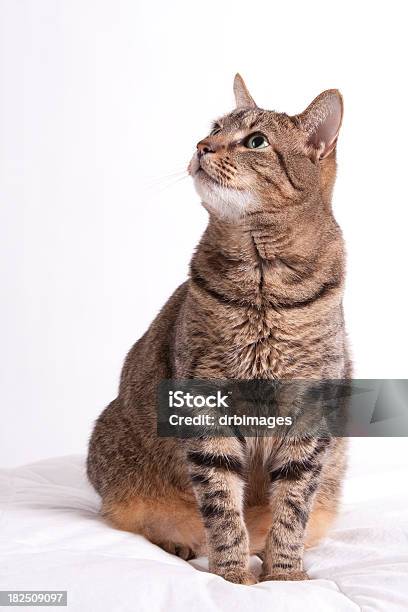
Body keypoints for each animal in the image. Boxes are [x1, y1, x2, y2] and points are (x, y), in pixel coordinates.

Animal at [87, 74, 350, 584]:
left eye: (256, 141)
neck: (264, 284)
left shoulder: (310, 414)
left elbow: (292, 510)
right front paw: (232, 574)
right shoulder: (203, 403)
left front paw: (285, 574)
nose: (201, 146)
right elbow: (223, 505)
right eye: (214, 128)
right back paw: (181, 543)